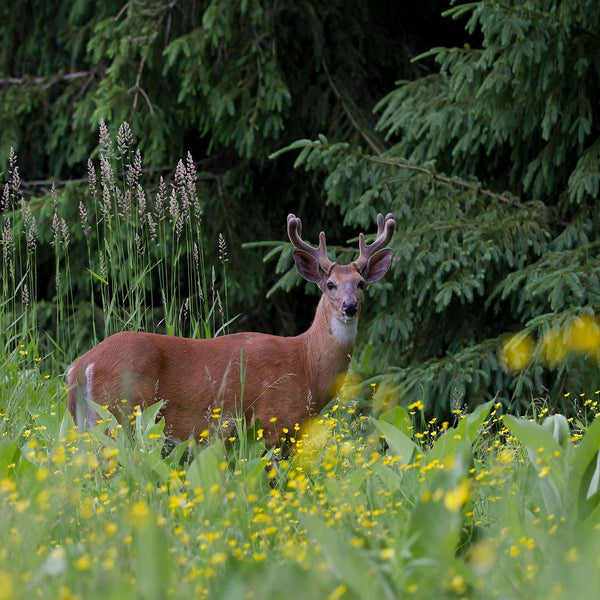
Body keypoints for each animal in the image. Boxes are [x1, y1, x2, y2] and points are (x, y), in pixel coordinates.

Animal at [67, 213, 394, 448]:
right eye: (330, 284)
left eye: (361, 283)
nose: (350, 307)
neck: (306, 363)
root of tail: (82, 365)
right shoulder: (273, 421)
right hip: (120, 414)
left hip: (88, 422)